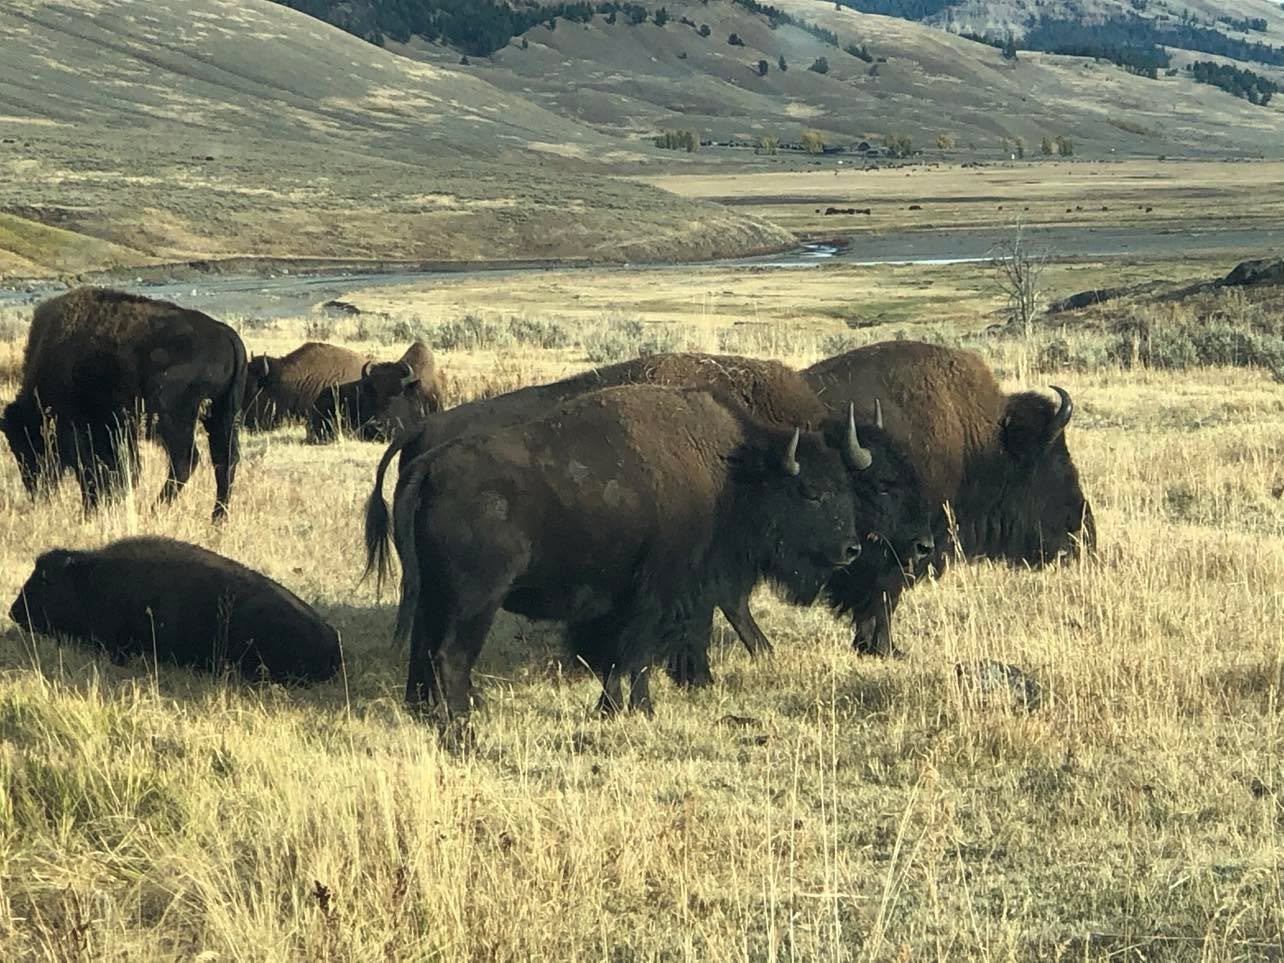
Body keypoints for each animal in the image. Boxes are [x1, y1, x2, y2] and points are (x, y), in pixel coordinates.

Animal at [1, 287, 245, 521]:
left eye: (22, 444)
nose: (35, 489)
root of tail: (226, 334)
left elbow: (94, 471)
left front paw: (91, 510)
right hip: (219, 414)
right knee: (224, 461)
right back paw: (217, 518)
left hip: (175, 419)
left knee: (186, 461)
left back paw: (155, 509)